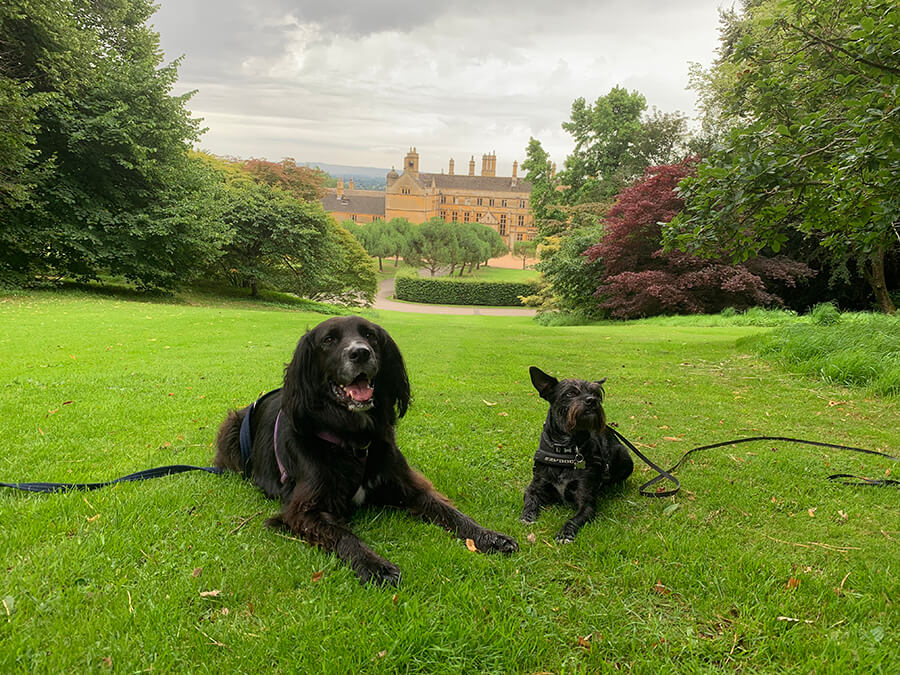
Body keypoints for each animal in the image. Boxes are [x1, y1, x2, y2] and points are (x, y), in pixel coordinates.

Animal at [214, 316, 516, 588]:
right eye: (329, 340)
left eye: (370, 336)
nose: (360, 353)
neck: (353, 441)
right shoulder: (304, 510)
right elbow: (344, 536)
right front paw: (375, 565)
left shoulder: (408, 485)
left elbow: (450, 511)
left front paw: (488, 535)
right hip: (231, 427)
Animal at [520, 368, 632, 540]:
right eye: (570, 393)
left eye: (596, 393)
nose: (592, 400)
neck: (566, 449)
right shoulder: (535, 486)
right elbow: (530, 500)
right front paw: (527, 516)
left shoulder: (586, 500)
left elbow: (575, 518)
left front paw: (565, 533)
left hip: (624, 455)